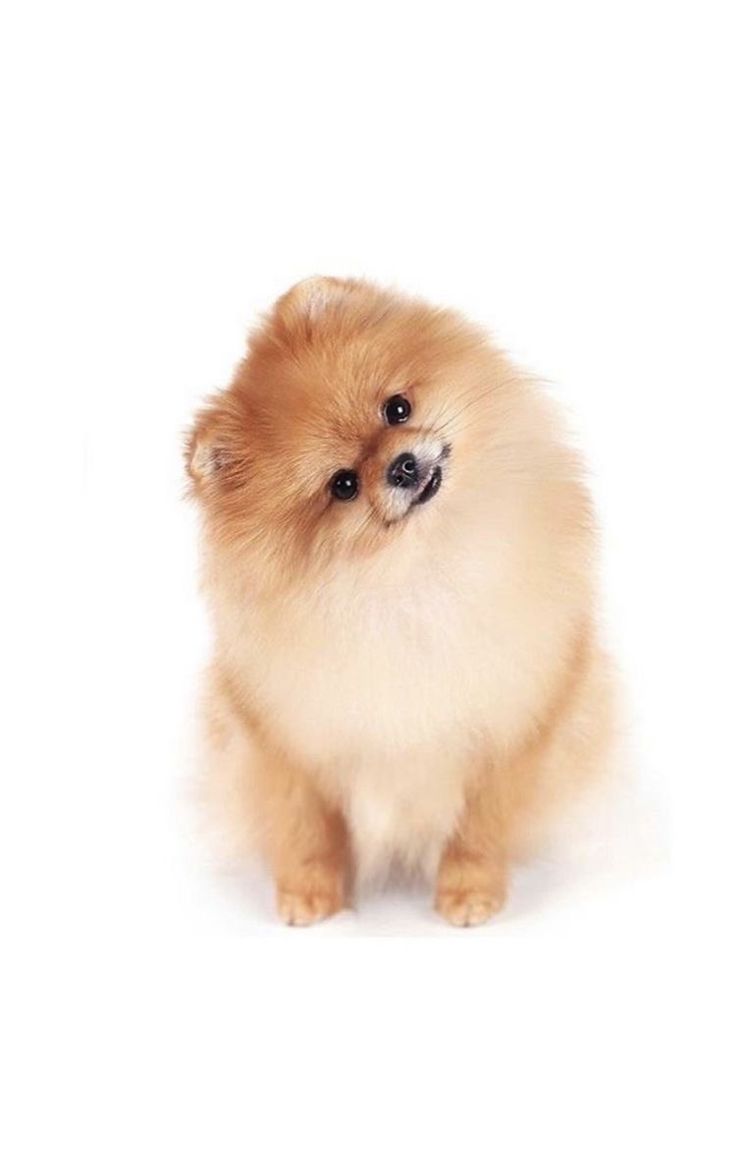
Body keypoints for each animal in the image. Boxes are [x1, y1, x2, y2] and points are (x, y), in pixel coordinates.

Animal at [186, 279, 610, 928]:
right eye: (342, 485)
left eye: (397, 409)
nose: (403, 465)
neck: (413, 572)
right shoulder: (285, 739)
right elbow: (306, 827)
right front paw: (309, 894)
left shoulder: (517, 721)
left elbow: (481, 826)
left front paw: (470, 891)